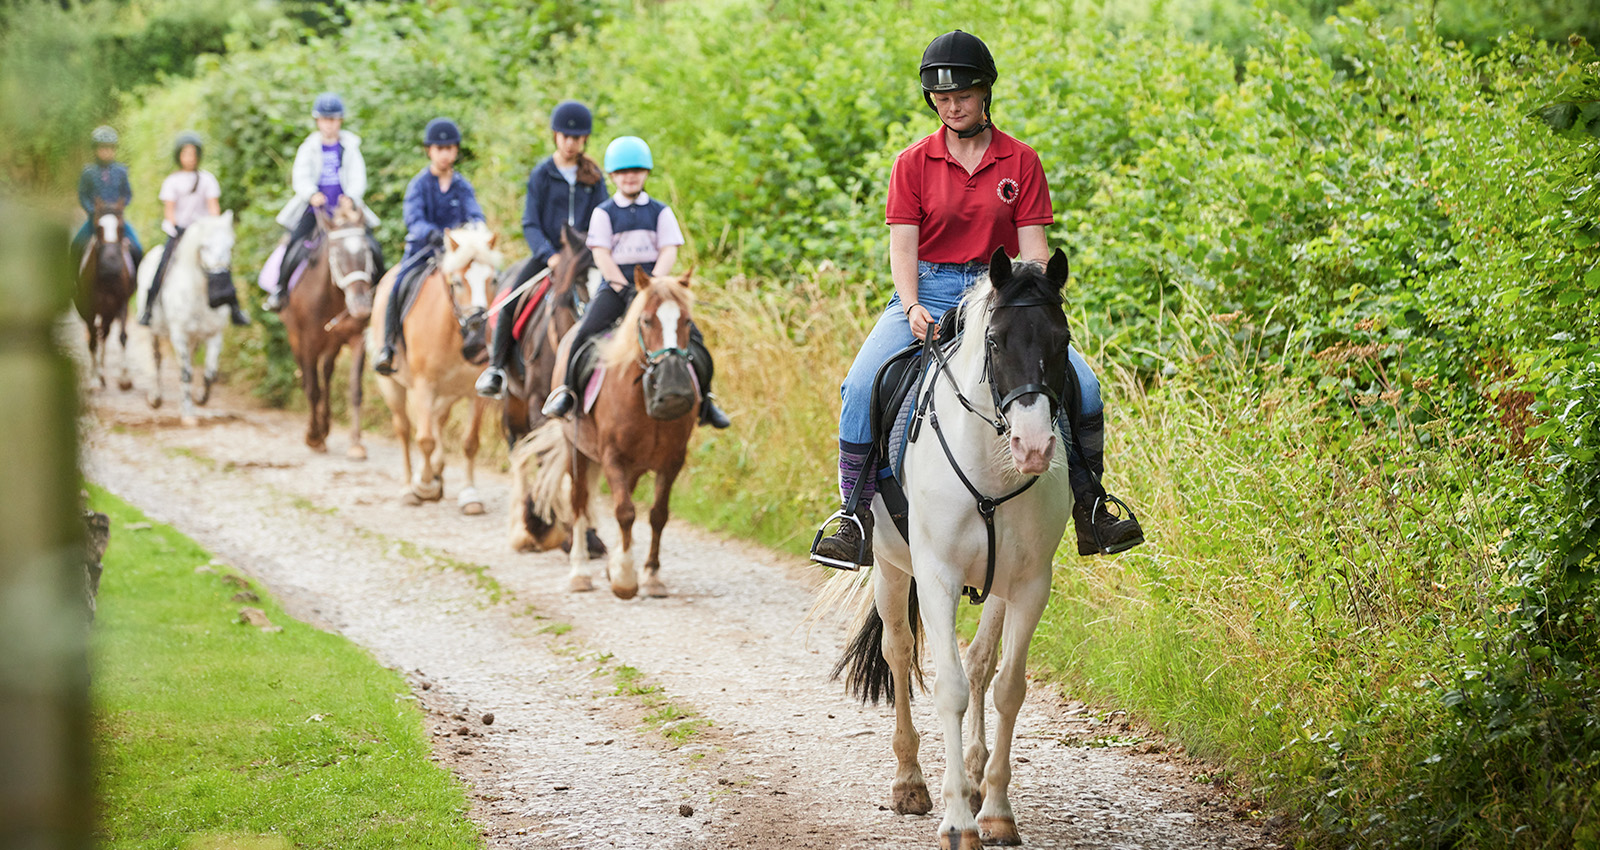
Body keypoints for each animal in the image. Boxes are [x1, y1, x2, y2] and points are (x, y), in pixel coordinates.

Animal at [75, 200, 136, 390]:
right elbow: (93, 339)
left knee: (105, 333)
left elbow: (122, 336)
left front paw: (125, 379)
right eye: (98, 227)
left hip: (108, 312)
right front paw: (94, 380)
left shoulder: (120, 304)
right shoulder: (87, 308)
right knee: (95, 335)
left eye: (121, 227)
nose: (111, 264)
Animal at [134, 212, 235, 425]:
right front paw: (188, 413)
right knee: (157, 360)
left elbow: (210, 373)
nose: (223, 293)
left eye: (231, 246)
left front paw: (200, 398)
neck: (199, 295)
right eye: (204, 246)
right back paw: (155, 398)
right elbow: (186, 373)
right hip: (154, 331)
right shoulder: (179, 334)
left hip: (193, 339)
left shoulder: (214, 334)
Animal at [281, 198, 380, 457]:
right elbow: (312, 388)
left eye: (366, 252)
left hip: (333, 342)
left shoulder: (357, 338)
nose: (361, 305)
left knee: (326, 374)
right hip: (296, 337)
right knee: (310, 380)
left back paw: (326, 425)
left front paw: (356, 443)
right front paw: (313, 436)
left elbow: (355, 388)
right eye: (337, 254)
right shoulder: (307, 341)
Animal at [505, 267, 694, 598]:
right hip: (576, 450)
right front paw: (625, 579)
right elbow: (625, 512)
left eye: (686, 321)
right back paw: (580, 571)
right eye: (646, 320)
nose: (673, 387)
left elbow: (657, 515)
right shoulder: (611, 456)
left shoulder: (672, 460)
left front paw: (651, 576)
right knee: (579, 501)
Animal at [825, 246, 1075, 850]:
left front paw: (996, 812)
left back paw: (977, 777)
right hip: (892, 569)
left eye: (1063, 340)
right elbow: (950, 689)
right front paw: (958, 820)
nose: (1034, 447)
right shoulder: (937, 576)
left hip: (996, 586)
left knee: (982, 663)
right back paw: (910, 783)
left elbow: (1006, 687)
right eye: (996, 342)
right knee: (897, 650)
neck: (992, 465)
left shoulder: (1030, 584)